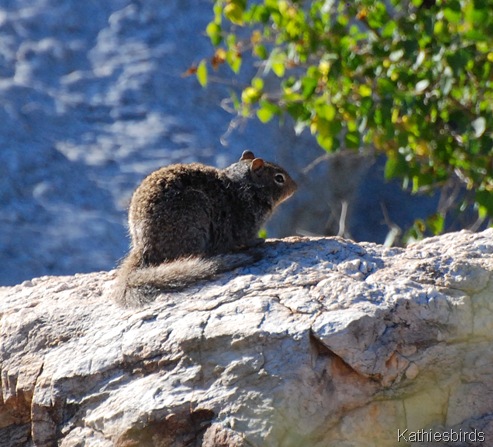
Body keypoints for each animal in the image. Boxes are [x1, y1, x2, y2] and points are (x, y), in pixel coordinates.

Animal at [111, 151, 296, 308]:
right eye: (279, 178)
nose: (295, 186)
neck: (246, 186)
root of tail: (143, 246)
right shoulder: (246, 225)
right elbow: (247, 239)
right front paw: (260, 240)